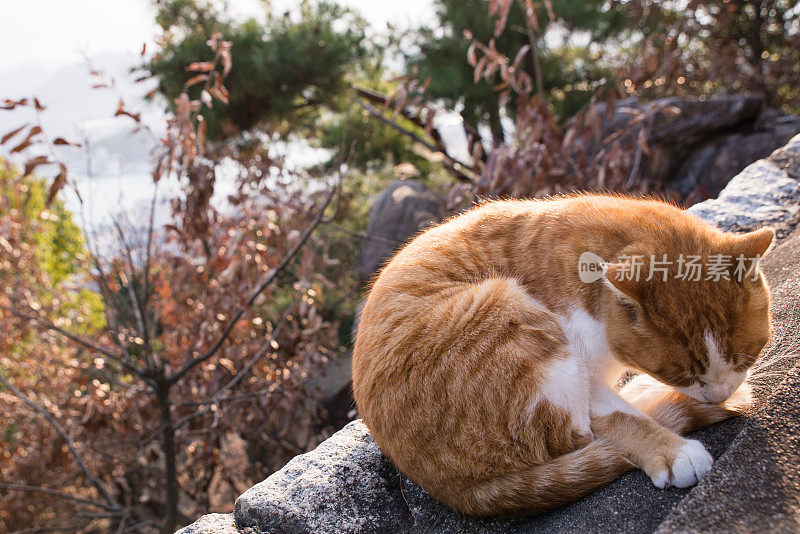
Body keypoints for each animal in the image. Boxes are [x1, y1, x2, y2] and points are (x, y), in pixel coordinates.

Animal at [352, 195, 776, 516]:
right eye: (682, 373)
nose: (718, 394)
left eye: (744, 357)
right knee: (578, 435)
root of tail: (457, 489)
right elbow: (617, 418)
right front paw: (671, 450)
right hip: (504, 311)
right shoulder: (578, 369)